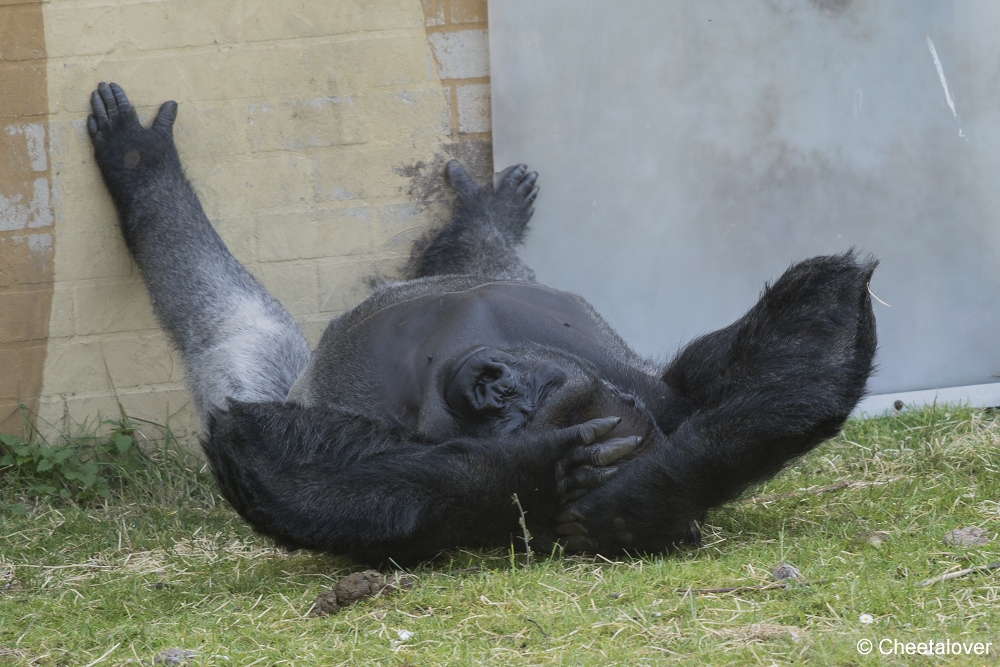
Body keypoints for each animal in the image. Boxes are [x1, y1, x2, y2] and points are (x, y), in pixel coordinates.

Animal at [90, 82, 880, 564]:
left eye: (521, 413)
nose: (493, 390)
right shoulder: (669, 389)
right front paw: (545, 472)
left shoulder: (658, 395)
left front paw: (601, 495)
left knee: (229, 323)